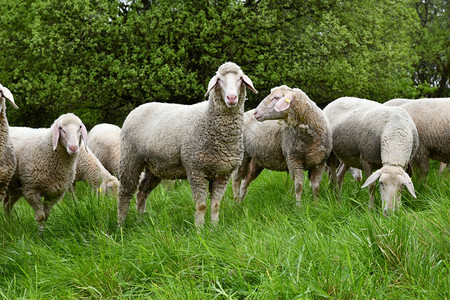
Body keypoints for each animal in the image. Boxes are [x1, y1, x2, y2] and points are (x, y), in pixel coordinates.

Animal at [117, 61, 256, 227]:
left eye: (240, 78)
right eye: (219, 80)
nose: (231, 97)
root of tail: (138, 108)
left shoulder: (223, 173)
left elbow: (216, 205)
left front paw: (214, 228)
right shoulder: (196, 170)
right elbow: (201, 206)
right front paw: (199, 229)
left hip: (154, 166)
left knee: (142, 190)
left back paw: (141, 219)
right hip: (130, 158)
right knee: (125, 192)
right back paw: (121, 224)